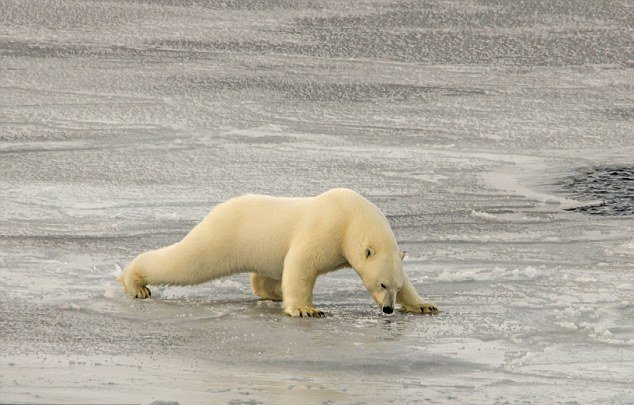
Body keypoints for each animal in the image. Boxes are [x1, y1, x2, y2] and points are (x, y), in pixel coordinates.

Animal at [118, 188, 436, 318]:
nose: (388, 309)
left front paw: (424, 305)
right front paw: (306, 309)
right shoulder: (326, 228)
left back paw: (273, 291)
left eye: (394, 287)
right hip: (222, 236)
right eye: (381, 284)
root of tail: (216, 210)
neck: (351, 218)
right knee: (187, 262)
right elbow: (301, 264)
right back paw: (136, 285)